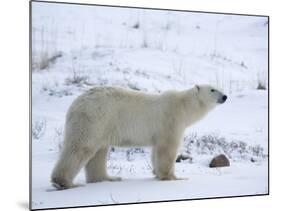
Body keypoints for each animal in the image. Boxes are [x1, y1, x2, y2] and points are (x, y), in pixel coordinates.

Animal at [49, 84, 225, 190]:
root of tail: (76, 103)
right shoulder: (170, 121)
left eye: (219, 87)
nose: (225, 96)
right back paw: (65, 183)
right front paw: (173, 177)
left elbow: (156, 151)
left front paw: (157, 173)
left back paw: (109, 178)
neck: (183, 106)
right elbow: (167, 149)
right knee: (81, 147)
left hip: (102, 125)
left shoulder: (159, 132)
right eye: (212, 89)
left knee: (98, 152)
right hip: (94, 118)